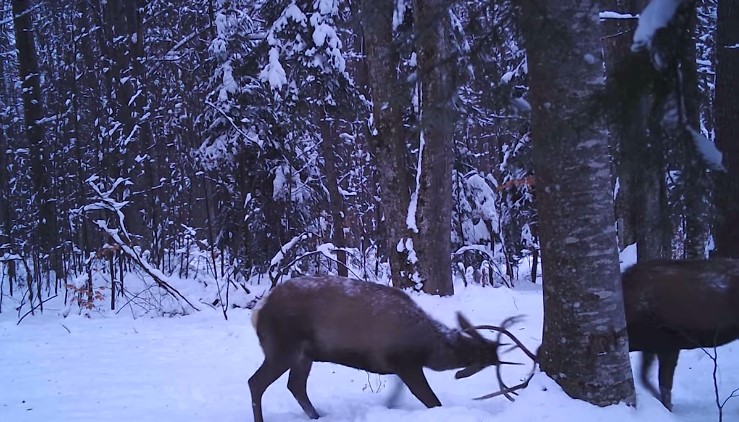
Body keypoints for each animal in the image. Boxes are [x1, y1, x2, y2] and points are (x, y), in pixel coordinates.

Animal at [250, 276, 536, 420]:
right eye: (484, 357)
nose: (494, 354)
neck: (429, 349)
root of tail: (258, 310)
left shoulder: (399, 367)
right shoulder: (406, 363)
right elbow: (432, 401)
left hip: (305, 354)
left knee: (295, 386)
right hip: (283, 346)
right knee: (256, 382)